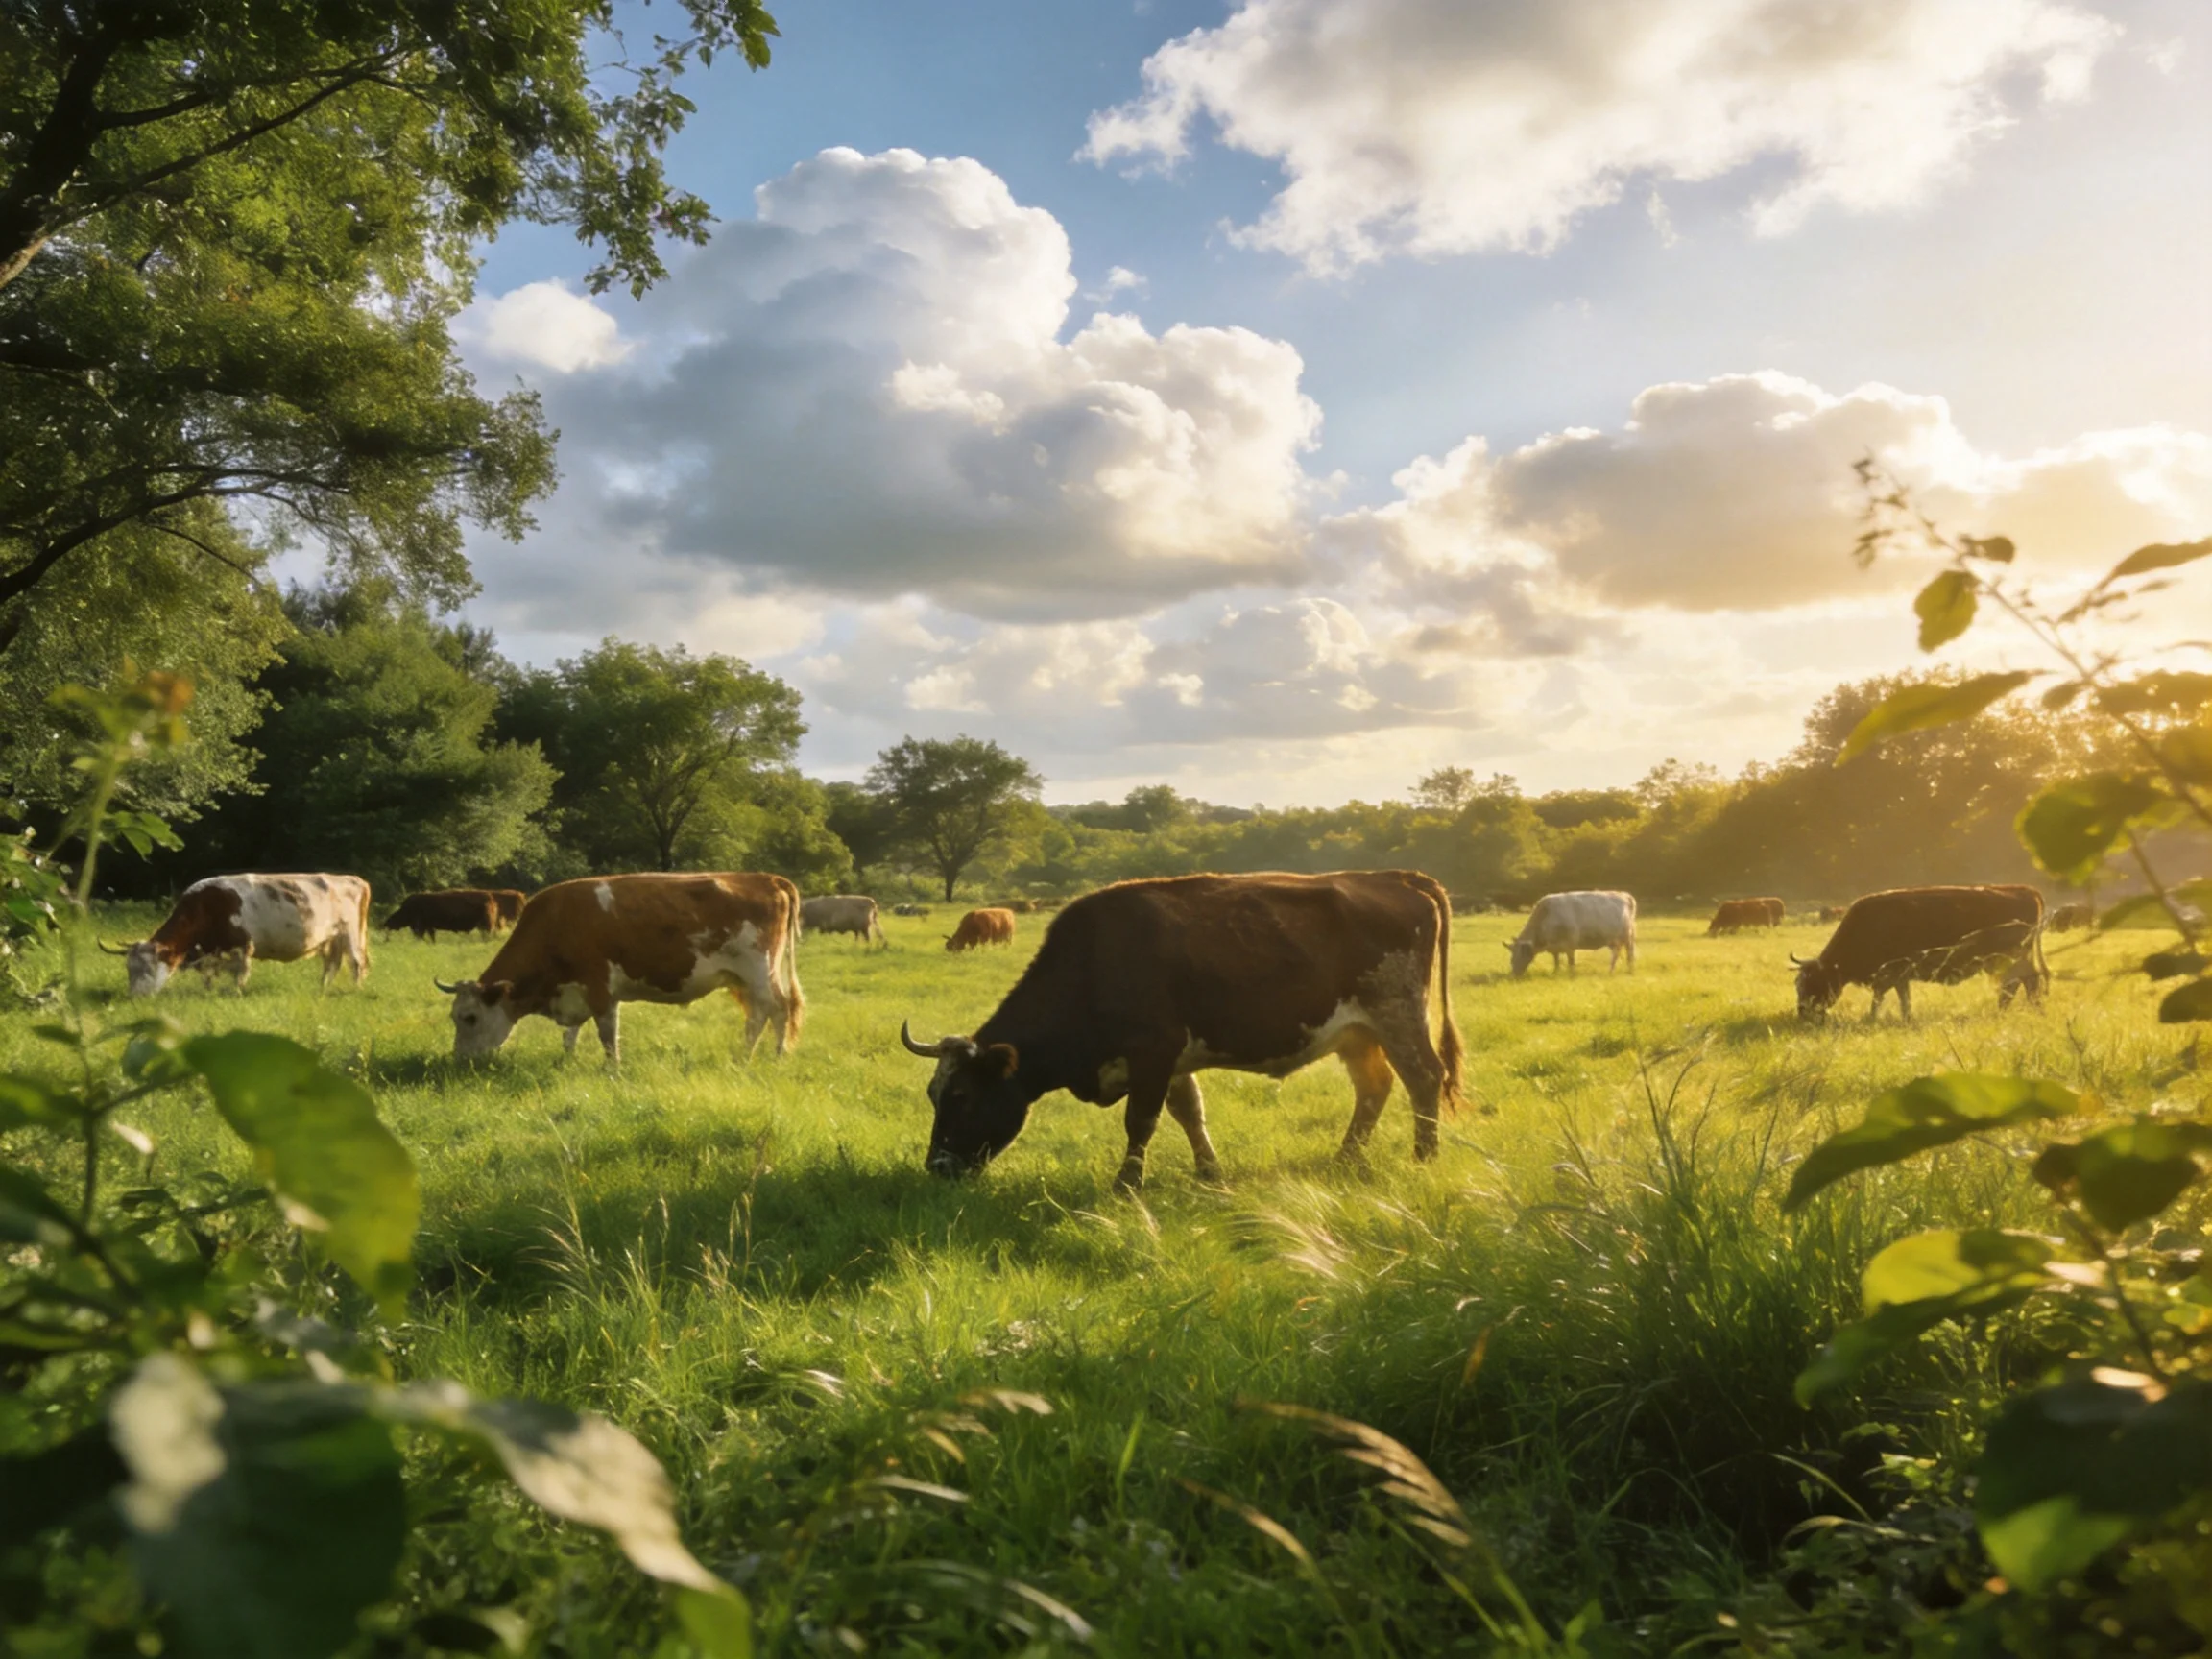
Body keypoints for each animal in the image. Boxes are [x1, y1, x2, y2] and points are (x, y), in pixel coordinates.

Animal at [105, 874, 371, 996]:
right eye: (129, 968)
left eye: (149, 967)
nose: (136, 997)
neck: (205, 907)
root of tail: (352, 879)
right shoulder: (209, 951)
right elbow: (208, 974)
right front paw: (208, 991)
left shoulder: (241, 946)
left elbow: (239, 972)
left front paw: (237, 992)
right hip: (331, 939)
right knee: (332, 964)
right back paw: (322, 988)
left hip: (351, 935)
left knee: (356, 964)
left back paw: (356, 990)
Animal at [437, 872, 803, 1068]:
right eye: (453, 1016)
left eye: (470, 1017)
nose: (459, 1060)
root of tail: (766, 878)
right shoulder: (575, 990)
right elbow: (571, 1034)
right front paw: (567, 1061)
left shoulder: (599, 987)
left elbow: (607, 1034)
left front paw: (612, 1070)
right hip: (748, 978)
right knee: (764, 1013)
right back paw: (757, 1055)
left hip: (759, 971)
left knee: (775, 1010)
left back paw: (766, 1056)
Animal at [899, 870, 1464, 1190]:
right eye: (932, 1094)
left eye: (964, 1096)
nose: (937, 1167)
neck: (1094, 962)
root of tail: (1401, 878)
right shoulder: (1172, 1060)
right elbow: (1189, 1112)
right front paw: (1210, 1172)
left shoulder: (1154, 1053)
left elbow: (1141, 1122)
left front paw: (1127, 1184)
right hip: (1359, 1034)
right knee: (1375, 1087)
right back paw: (1346, 1158)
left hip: (1398, 1013)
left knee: (1423, 1077)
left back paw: (1424, 1157)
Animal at [1507, 891, 1637, 977]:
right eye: (1511, 959)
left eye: (1520, 956)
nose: (1513, 975)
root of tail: (1625, 895)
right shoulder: (1554, 947)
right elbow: (1556, 960)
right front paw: (1555, 972)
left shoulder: (1570, 944)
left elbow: (1571, 961)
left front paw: (1571, 974)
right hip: (1614, 940)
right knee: (1617, 954)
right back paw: (1615, 970)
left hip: (1627, 937)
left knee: (1628, 953)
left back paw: (1625, 971)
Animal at [1792, 885, 2047, 1021]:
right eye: (1798, 984)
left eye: (1812, 982)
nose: (1802, 1013)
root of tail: (2025, 890)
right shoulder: (1899, 977)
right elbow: (1903, 999)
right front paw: (1905, 1019)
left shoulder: (1890, 974)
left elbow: (1879, 999)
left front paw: (1872, 1018)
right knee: (2023, 984)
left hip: (2008, 960)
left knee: (2019, 984)